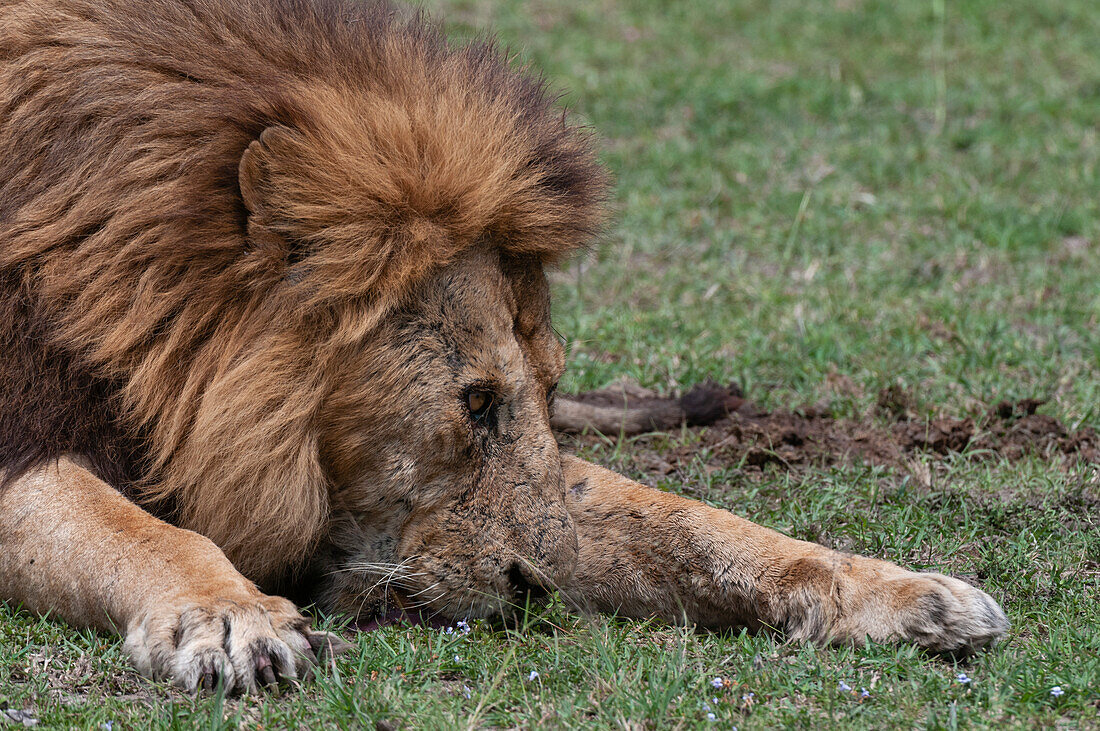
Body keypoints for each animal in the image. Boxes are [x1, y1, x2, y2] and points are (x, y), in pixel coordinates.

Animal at [0, 0, 1007, 694]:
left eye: (547, 394)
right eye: (474, 401)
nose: (544, 586)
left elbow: (687, 522)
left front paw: (905, 594)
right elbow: (138, 531)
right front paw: (229, 617)